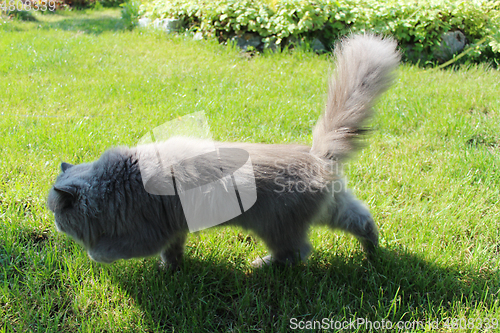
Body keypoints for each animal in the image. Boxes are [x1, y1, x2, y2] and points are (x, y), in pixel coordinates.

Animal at [47, 33, 398, 268]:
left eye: (57, 212)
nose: (55, 224)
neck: (116, 183)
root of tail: (317, 156)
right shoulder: (172, 230)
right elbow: (172, 253)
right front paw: (171, 269)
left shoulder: (145, 234)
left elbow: (108, 251)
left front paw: (94, 256)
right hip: (335, 209)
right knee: (363, 221)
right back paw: (373, 253)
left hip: (277, 228)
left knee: (296, 254)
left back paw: (260, 266)